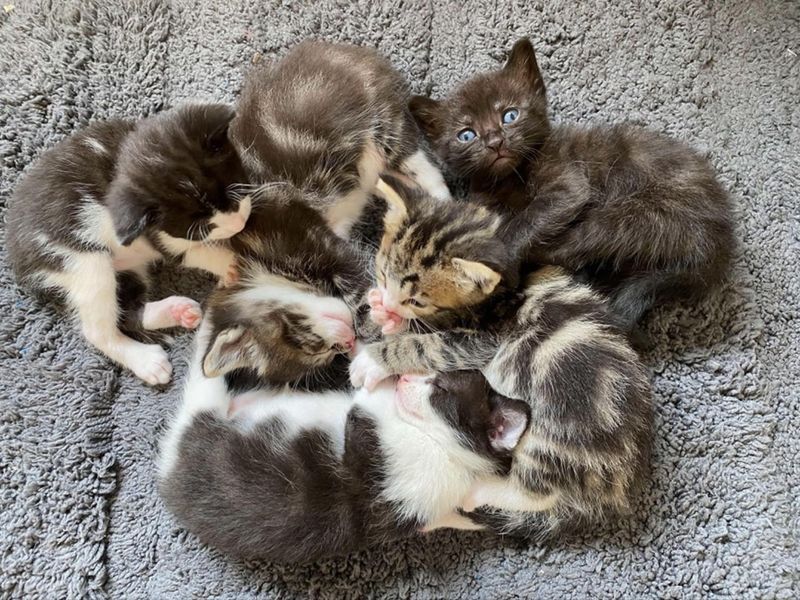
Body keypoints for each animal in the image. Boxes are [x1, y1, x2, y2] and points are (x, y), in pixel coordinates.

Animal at [4, 103, 250, 384]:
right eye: (202, 228)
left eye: (234, 190)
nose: (240, 223)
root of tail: (16, 258)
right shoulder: (158, 236)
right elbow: (193, 253)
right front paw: (231, 263)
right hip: (80, 259)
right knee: (97, 328)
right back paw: (145, 360)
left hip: (126, 269)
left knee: (127, 311)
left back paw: (176, 311)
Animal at [348, 178, 648, 540]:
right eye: (381, 271)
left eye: (417, 300)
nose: (389, 301)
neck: (496, 294)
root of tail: (622, 483)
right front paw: (378, 311)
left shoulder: (483, 340)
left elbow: (425, 344)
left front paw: (374, 360)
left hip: (550, 437)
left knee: (537, 492)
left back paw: (477, 491)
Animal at [410, 37, 736, 330]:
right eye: (466, 134)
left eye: (510, 115)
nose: (494, 142)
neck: (510, 178)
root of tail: (719, 245)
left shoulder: (568, 185)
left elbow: (525, 221)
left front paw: (496, 257)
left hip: (632, 215)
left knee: (572, 248)